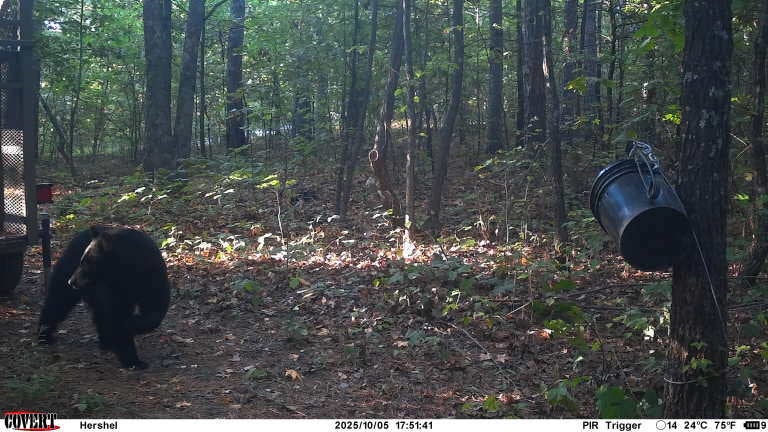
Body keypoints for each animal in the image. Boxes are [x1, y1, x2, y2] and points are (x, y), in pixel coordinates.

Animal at [38, 225, 171, 369]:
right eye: (82, 260)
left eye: (87, 263)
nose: (72, 281)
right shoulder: (113, 289)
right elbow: (116, 314)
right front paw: (132, 359)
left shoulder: (152, 277)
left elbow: (154, 311)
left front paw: (131, 324)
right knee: (58, 299)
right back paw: (44, 334)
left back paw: (106, 341)